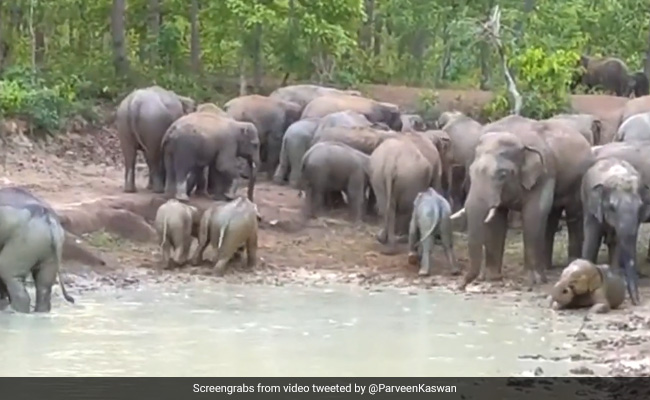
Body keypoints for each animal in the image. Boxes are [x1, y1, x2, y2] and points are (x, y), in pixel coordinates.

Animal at [451, 115, 594, 289]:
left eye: (502, 175)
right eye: (471, 172)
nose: (460, 285)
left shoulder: (544, 173)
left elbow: (533, 214)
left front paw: (533, 281)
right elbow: (497, 219)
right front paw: (493, 278)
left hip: (578, 181)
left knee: (573, 215)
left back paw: (571, 265)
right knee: (551, 217)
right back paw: (546, 267)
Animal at [580, 158, 650, 305]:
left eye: (640, 207)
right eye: (612, 207)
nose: (637, 302)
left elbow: (618, 243)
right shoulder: (592, 207)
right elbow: (592, 240)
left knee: (613, 243)